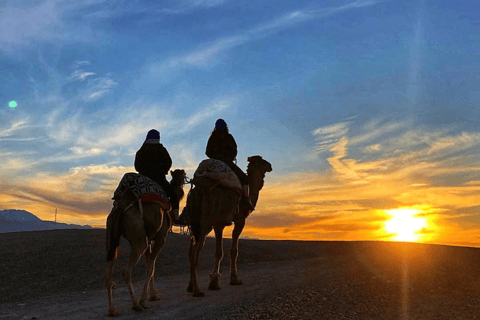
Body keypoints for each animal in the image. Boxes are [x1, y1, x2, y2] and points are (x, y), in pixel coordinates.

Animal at [106, 169, 187, 316]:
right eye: (182, 177)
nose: (183, 182)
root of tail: (120, 206)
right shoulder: (160, 238)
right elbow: (151, 268)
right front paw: (144, 300)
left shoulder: (149, 239)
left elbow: (150, 265)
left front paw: (153, 295)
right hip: (138, 239)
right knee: (126, 271)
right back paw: (136, 305)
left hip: (111, 236)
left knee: (108, 272)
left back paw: (112, 310)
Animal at [186, 156, 272, 296]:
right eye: (262, 161)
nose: (270, 166)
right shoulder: (239, 220)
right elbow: (232, 251)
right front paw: (234, 279)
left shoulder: (219, 223)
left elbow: (218, 252)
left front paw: (214, 281)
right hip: (205, 222)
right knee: (194, 253)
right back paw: (197, 290)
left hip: (194, 223)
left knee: (190, 251)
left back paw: (190, 286)